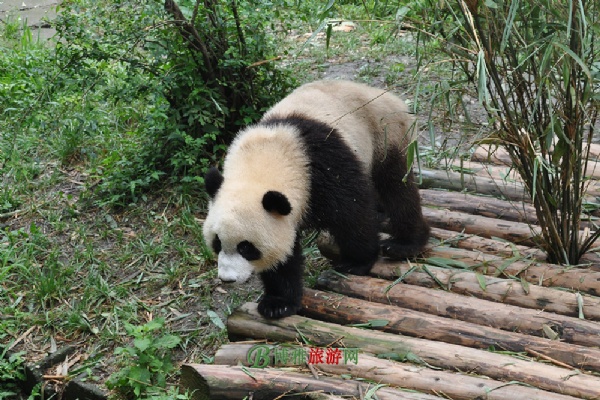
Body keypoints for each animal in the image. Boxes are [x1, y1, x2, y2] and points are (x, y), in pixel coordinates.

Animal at [204, 80, 428, 318]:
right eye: (217, 242)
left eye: (246, 248)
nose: (227, 279)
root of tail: (388, 96)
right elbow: (284, 255)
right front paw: (278, 303)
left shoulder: (323, 168)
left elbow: (352, 214)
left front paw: (356, 262)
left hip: (385, 134)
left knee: (396, 187)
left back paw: (404, 244)